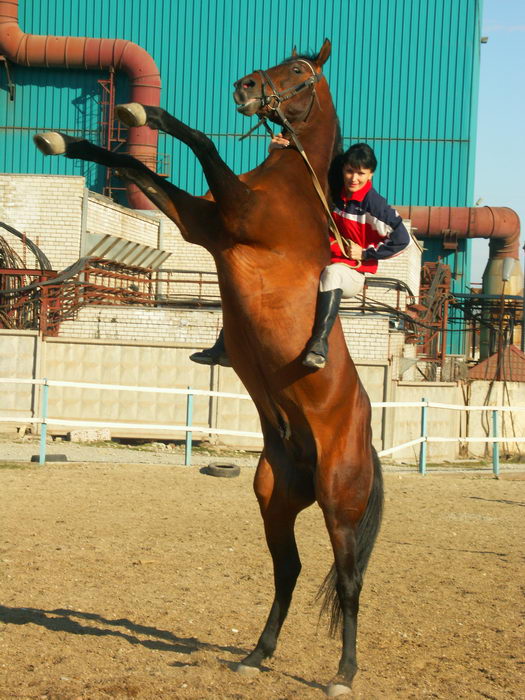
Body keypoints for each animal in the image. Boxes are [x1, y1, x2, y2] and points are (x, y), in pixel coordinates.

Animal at [34, 41, 382, 696]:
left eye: (300, 72)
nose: (246, 88)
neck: (295, 188)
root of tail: (366, 440)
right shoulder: (203, 221)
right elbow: (140, 168)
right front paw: (70, 140)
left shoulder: (232, 214)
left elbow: (199, 143)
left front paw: (141, 112)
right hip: (275, 496)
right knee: (288, 570)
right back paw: (257, 653)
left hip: (338, 502)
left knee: (348, 581)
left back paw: (345, 673)